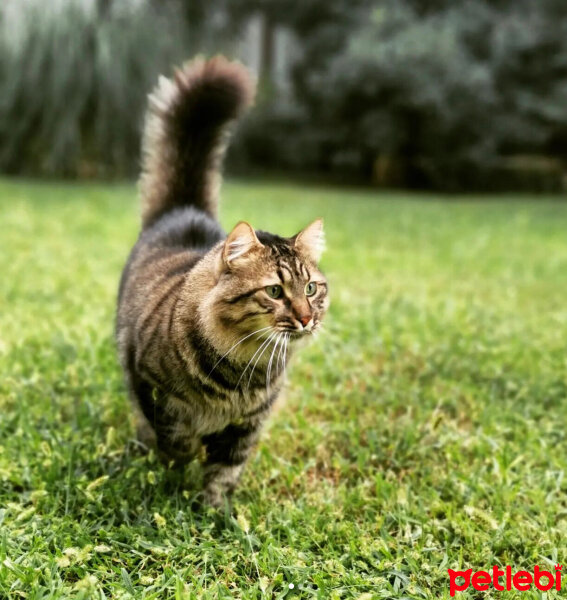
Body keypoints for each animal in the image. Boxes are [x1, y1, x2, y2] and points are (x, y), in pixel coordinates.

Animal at [115, 56, 328, 508]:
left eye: (311, 289)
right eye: (275, 291)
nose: (306, 319)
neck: (241, 372)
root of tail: (185, 209)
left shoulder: (248, 424)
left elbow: (225, 469)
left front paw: (214, 510)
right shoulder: (147, 381)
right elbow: (174, 439)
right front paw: (179, 464)